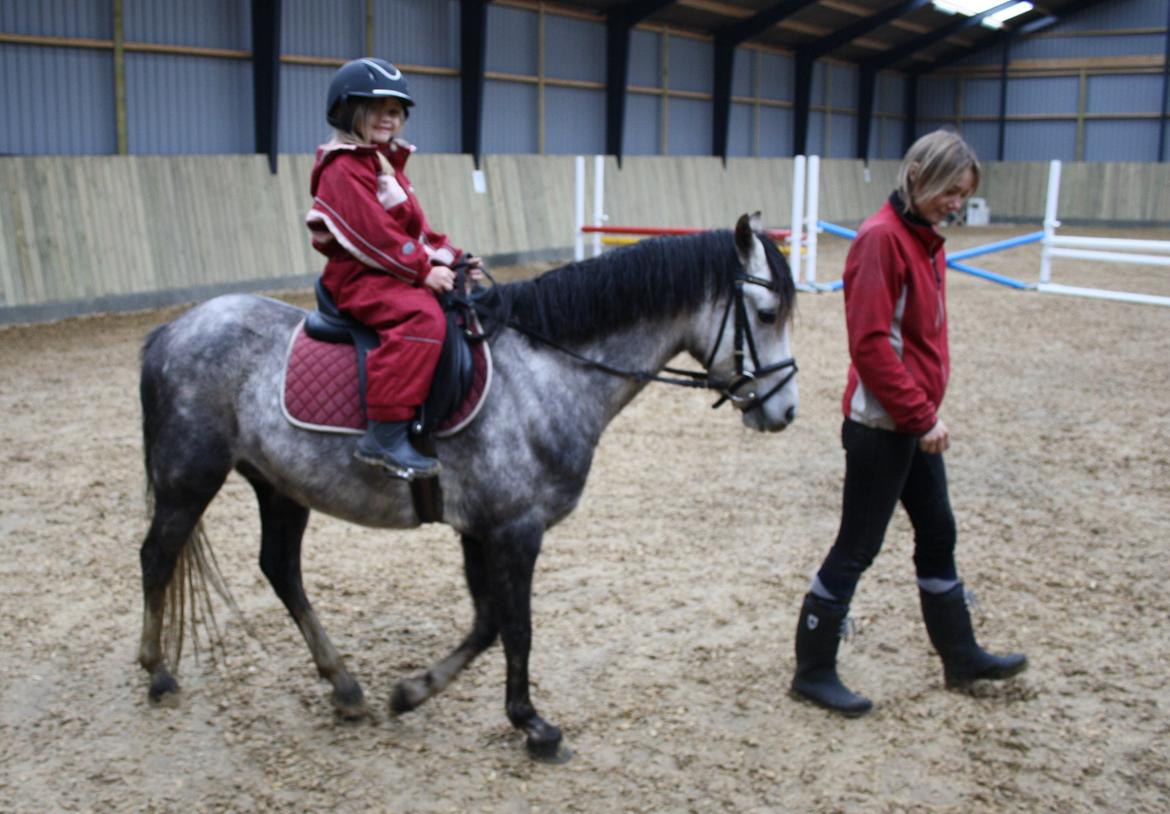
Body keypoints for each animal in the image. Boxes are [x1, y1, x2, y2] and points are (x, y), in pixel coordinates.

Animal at [137, 213, 798, 761]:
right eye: (767, 315)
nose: (785, 411)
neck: (543, 370)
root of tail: (173, 329)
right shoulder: (515, 528)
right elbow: (516, 626)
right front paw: (534, 726)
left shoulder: (481, 529)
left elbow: (488, 624)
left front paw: (413, 691)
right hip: (189, 477)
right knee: (157, 556)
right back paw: (157, 672)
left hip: (278, 486)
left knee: (280, 569)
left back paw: (345, 686)